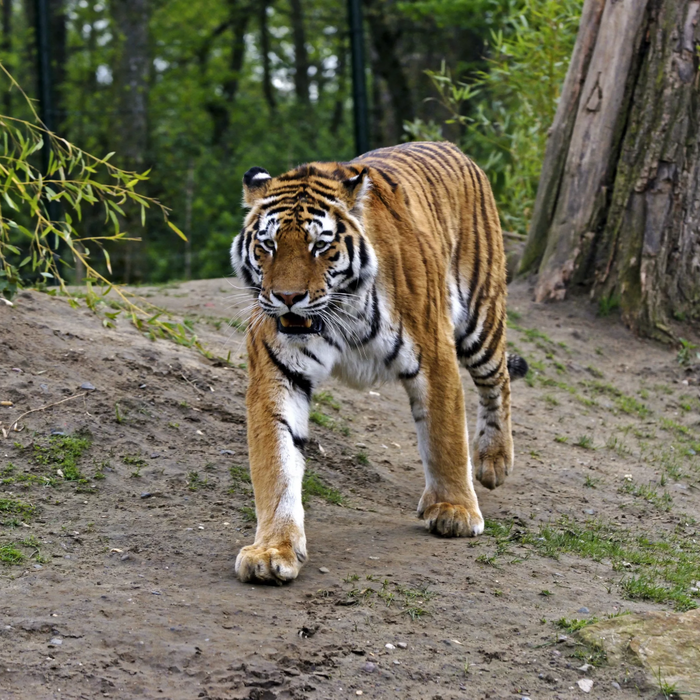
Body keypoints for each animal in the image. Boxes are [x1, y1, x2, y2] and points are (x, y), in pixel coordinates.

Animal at [230, 139, 524, 584]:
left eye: (320, 246)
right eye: (268, 245)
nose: (287, 297)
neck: (339, 311)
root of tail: (450, 145)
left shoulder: (435, 354)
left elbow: (445, 437)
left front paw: (455, 510)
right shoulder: (276, 374)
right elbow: (276, 464)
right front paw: (271, 551)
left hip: (481, 318)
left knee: (498, 380)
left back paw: (494, 462)